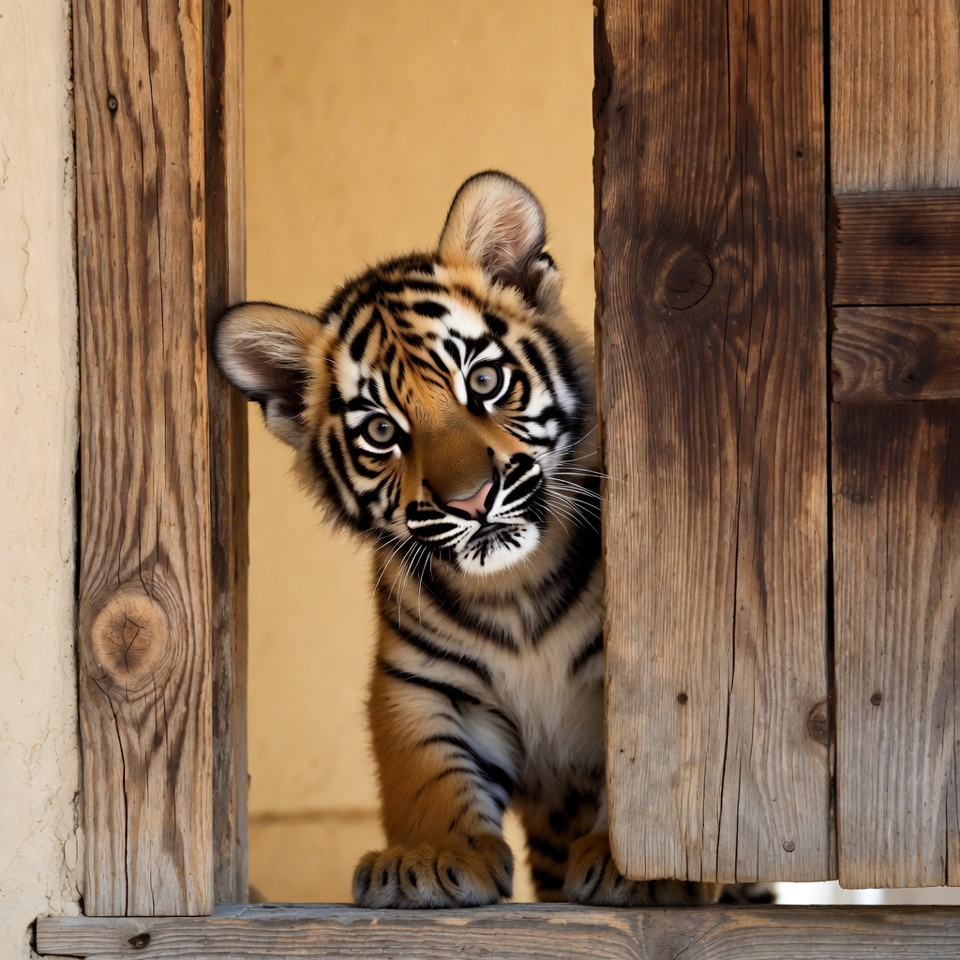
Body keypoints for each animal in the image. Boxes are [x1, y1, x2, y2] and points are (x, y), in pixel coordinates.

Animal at [214, 172, 724, 908]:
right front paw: (429, 858)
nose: (471, 501)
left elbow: (640, 774)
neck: (513, 587)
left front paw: (642, 870)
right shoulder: (422, 682)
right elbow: (428, 771)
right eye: (380, 431)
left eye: (484, 381)